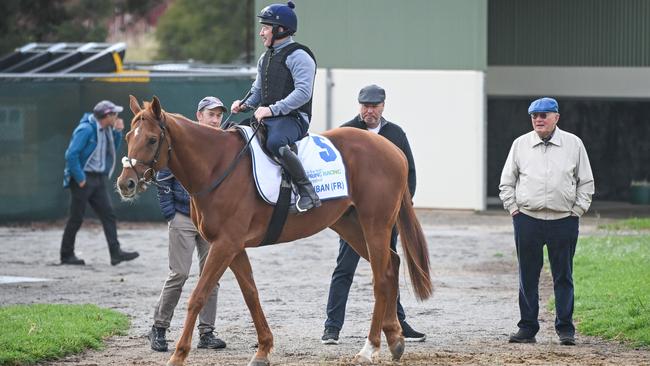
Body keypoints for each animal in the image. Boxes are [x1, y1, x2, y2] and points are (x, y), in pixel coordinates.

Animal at [116, 96, 430, 364]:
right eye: (129, 137)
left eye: (152, 139)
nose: (125, 183)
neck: (217, 165)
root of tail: (392, 149)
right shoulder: (233, 247)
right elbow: (251, 294)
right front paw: (263, 349)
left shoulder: (225, 245)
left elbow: (198, 297)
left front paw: (178, 355)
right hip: (349, 225)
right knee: (391, 266)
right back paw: (394, 339)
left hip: (374, 224)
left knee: (380, 278)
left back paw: (370, 347)